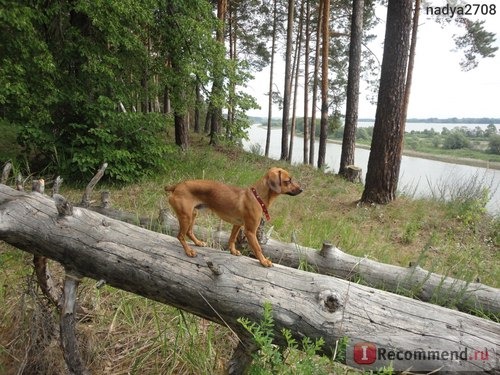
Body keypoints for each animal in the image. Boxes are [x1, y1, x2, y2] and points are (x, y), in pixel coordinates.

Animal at [166, 167, 302, 268]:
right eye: (288, 180)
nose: (301, 189)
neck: (257, 197)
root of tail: (177, 186)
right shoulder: (250, 231)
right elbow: (258, 248)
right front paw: (263, 261)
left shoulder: (237, 224)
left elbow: (232, 239)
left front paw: (233, 251)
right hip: (186, 216)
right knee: (180, 236)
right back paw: (188, 251)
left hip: (193, 214)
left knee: (189, 232)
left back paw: (198, 242)